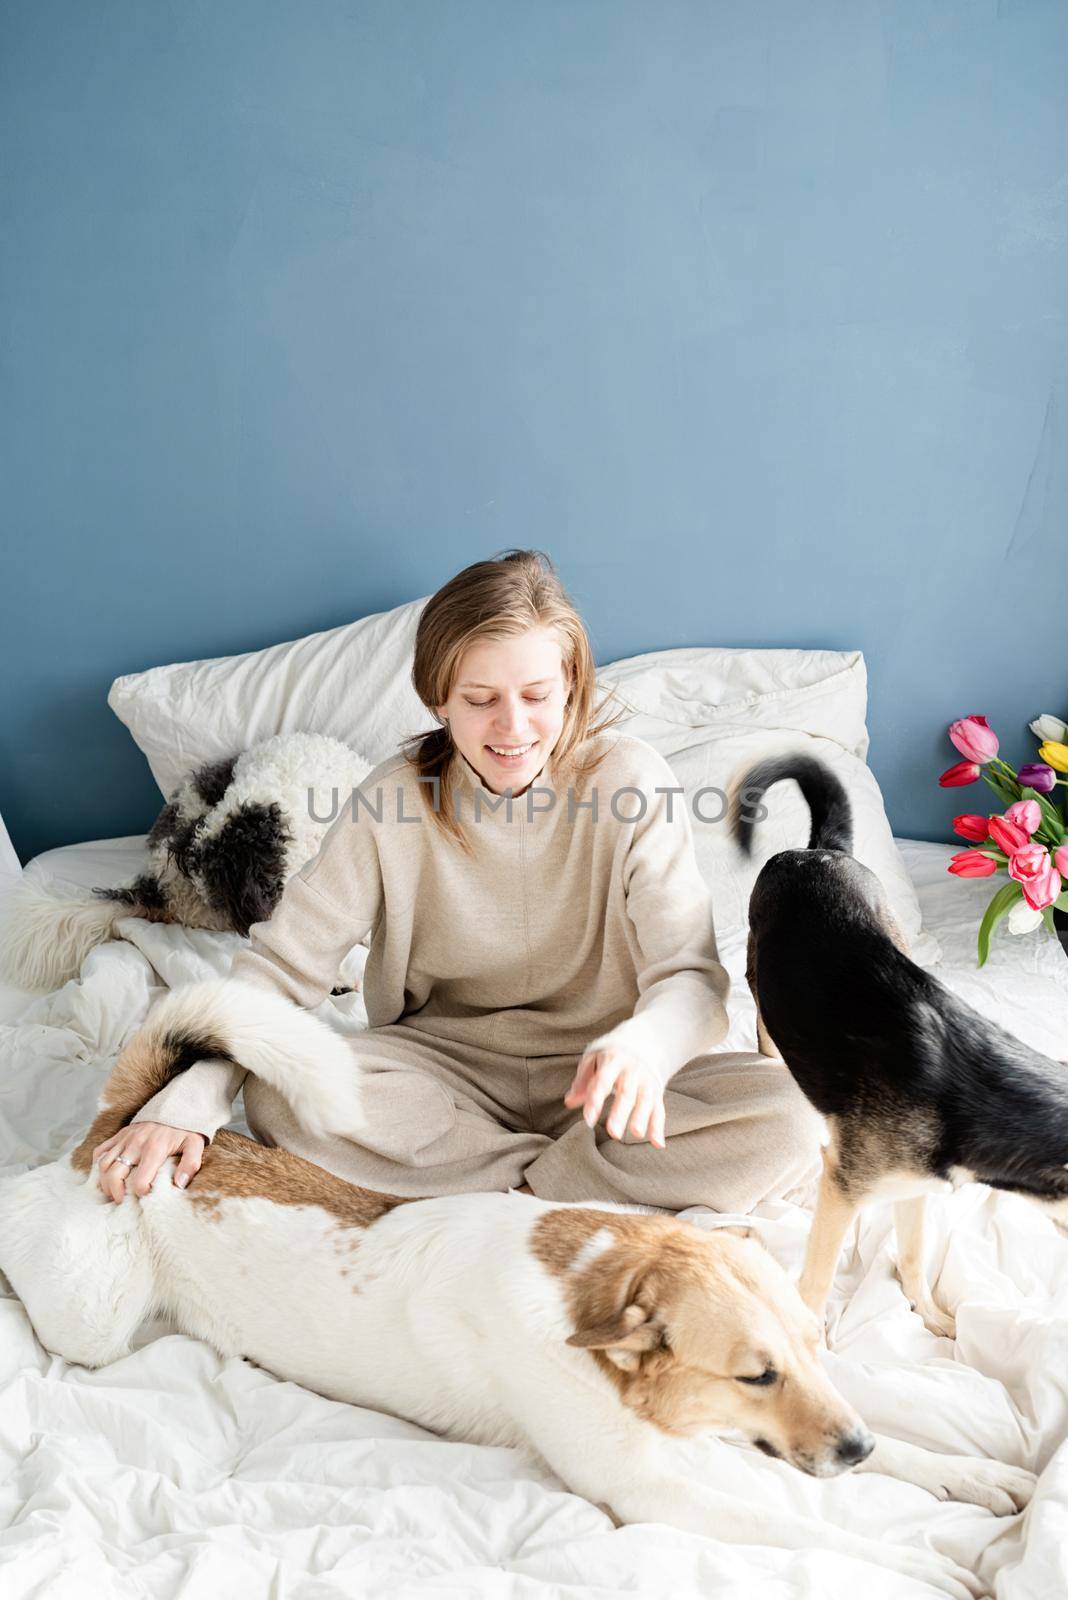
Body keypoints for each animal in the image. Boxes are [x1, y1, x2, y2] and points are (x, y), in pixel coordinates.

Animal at [0, 979, 1036, 1593]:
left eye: (814, 1350)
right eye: (754, 1376)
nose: (854, 1452)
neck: (597, 1286)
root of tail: (121, 1133)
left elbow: (897, 1437)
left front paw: (973, 1473)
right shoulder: (657, 1489)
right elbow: (814, 1529)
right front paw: (922, 1566)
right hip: (89, 1318)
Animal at [735, 755, 1068, 1344]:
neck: (994, 1097)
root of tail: (820, 849)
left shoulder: (916, 1186)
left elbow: (913, 1255)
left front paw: (930, 1315)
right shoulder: (843, 1188)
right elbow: (816, 1282)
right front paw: (808, 1345)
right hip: (763, 987)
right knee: (767, 1038)